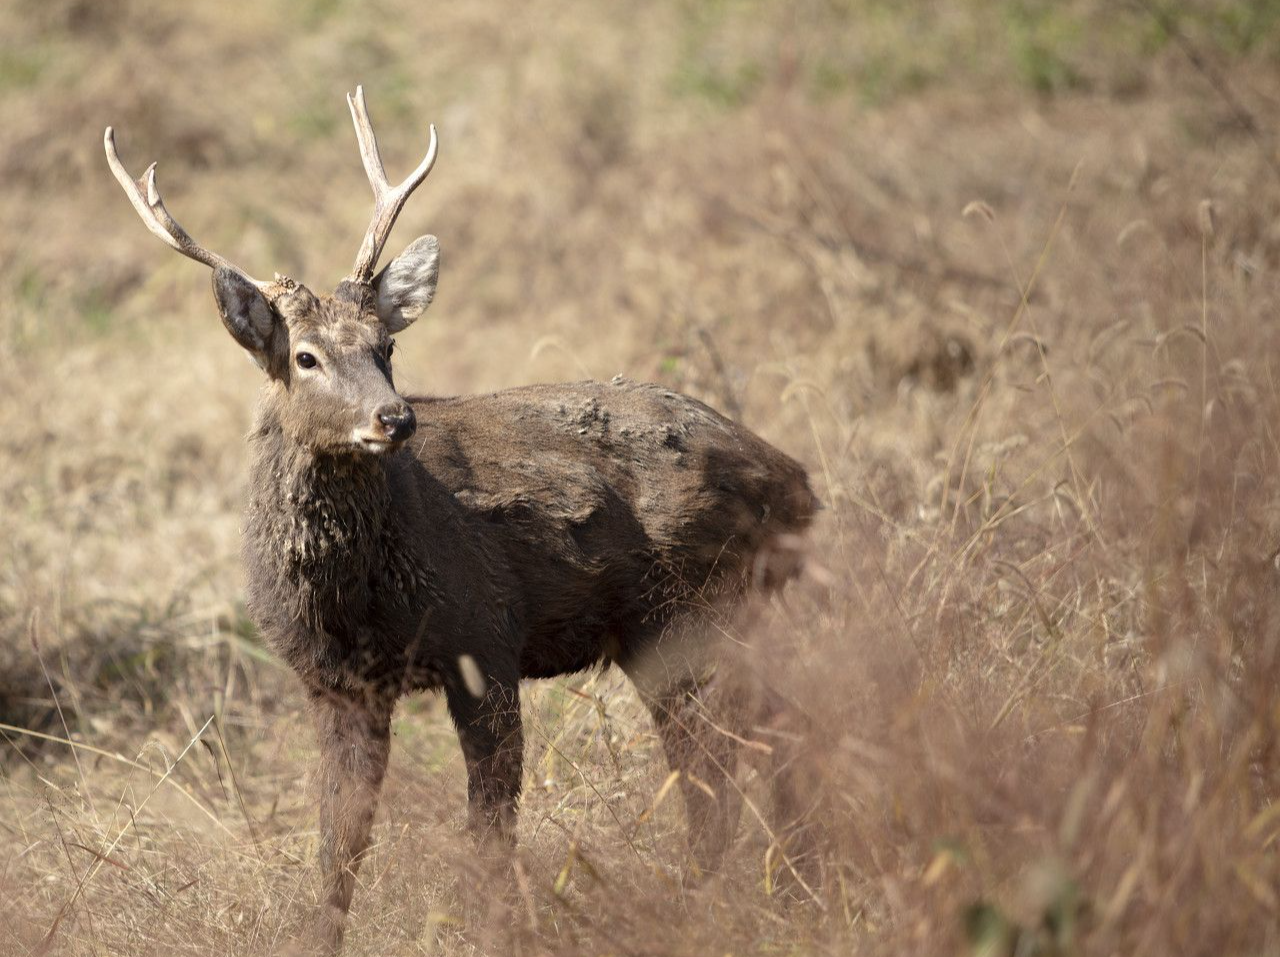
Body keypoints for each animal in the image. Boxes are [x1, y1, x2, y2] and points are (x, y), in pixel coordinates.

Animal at [104, 87, 814, 951]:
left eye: (386, 346)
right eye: (304, 356)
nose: (394, 418)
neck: (359, 598)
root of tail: (795, 482)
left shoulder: (483, 637)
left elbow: (487, 828)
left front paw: (493, 929)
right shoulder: (335, 684)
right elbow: (338, 844)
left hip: (691, 610)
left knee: (719, 767)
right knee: (767, 737)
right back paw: (786, 882)